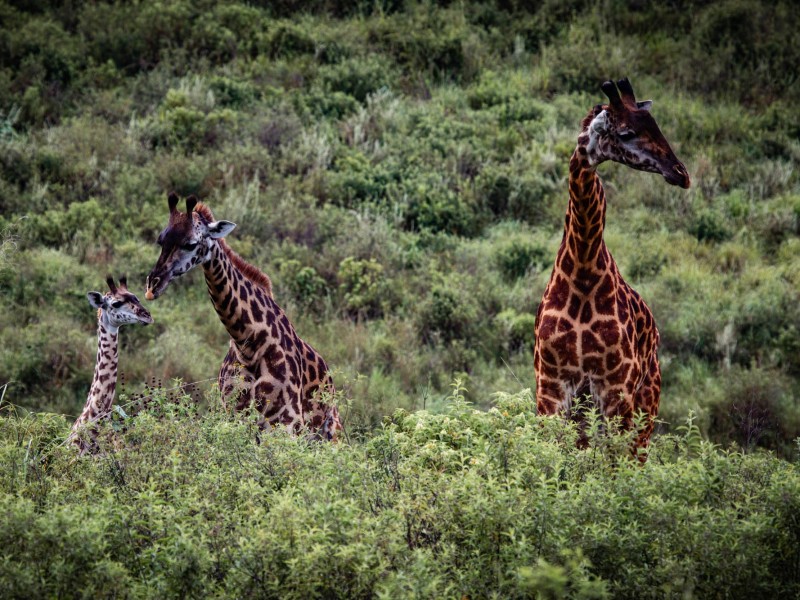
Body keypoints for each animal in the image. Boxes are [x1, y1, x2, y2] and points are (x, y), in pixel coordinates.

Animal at [144, 192, 341, 440]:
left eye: (190, 244)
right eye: (160, 240)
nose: (152, 286)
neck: (248, 344)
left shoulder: (287, 423)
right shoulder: (234, 417)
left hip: (330, 432)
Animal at [533, 78, 690, 459]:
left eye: (657, 125)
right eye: (627, 132)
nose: (681, 174)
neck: (583, 267)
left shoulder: (615, 388)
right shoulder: (552, 388)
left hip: (646, 404)